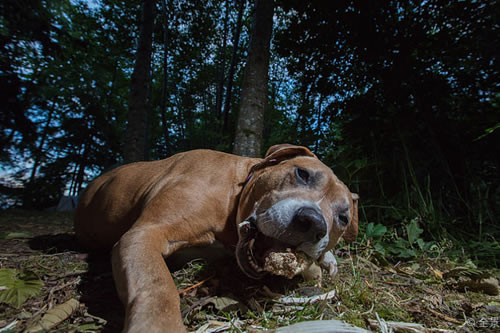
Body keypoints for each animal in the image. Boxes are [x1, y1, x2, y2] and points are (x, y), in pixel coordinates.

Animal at [73, 144, 360, 330]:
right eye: (302, 173)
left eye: (343, 218)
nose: (312, 223)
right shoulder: (146, 234)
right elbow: (158, 288)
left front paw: (323, 262)